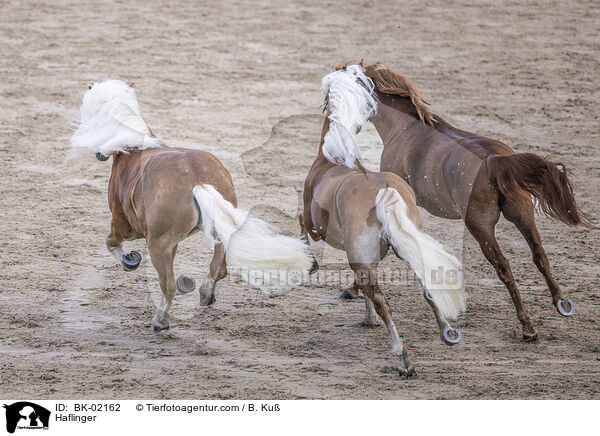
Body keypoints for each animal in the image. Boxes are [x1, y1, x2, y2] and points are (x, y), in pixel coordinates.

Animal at [70, 79, 316, 330]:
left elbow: (111, 244)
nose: (100, 154)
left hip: (156, 244)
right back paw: (205, 293)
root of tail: (197, 180)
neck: (134, 148)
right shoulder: (172, 242)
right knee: (218, 268)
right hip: (212, 232)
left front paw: (129, 261)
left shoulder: (125, 227)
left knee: (168, 284)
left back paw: (161, 319)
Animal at [302, 65, 466, 378]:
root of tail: (383, 190)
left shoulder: (313, 225)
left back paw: (404, 360)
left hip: (362, 256)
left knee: (383, 301)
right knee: (426, 287)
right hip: (407, 247)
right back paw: (446, 332)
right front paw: (367, 318)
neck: (333, 159)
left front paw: (311, 263)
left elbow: (300, 228)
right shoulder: (370, 257)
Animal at [338, 60, 592, 340]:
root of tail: (493, 160)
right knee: (540, 255)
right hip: (523, 215)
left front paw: (352, 289)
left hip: (480, 227)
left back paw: (527, 325)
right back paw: (560, 302)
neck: (405, 127)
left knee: (504, 267)